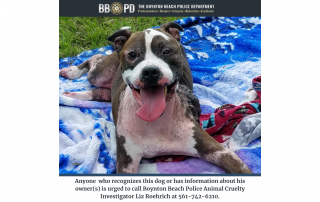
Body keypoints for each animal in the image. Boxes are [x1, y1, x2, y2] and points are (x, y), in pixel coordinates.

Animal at [60, 21, 252, 174]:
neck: (155, 122)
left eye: (166, 51)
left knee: (101, 91)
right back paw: (71, 71)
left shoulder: (219, 152)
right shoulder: (127, 163)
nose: (150, 71)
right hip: (99, 73)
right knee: (95, 60)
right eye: (132, 55)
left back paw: (74, 93)